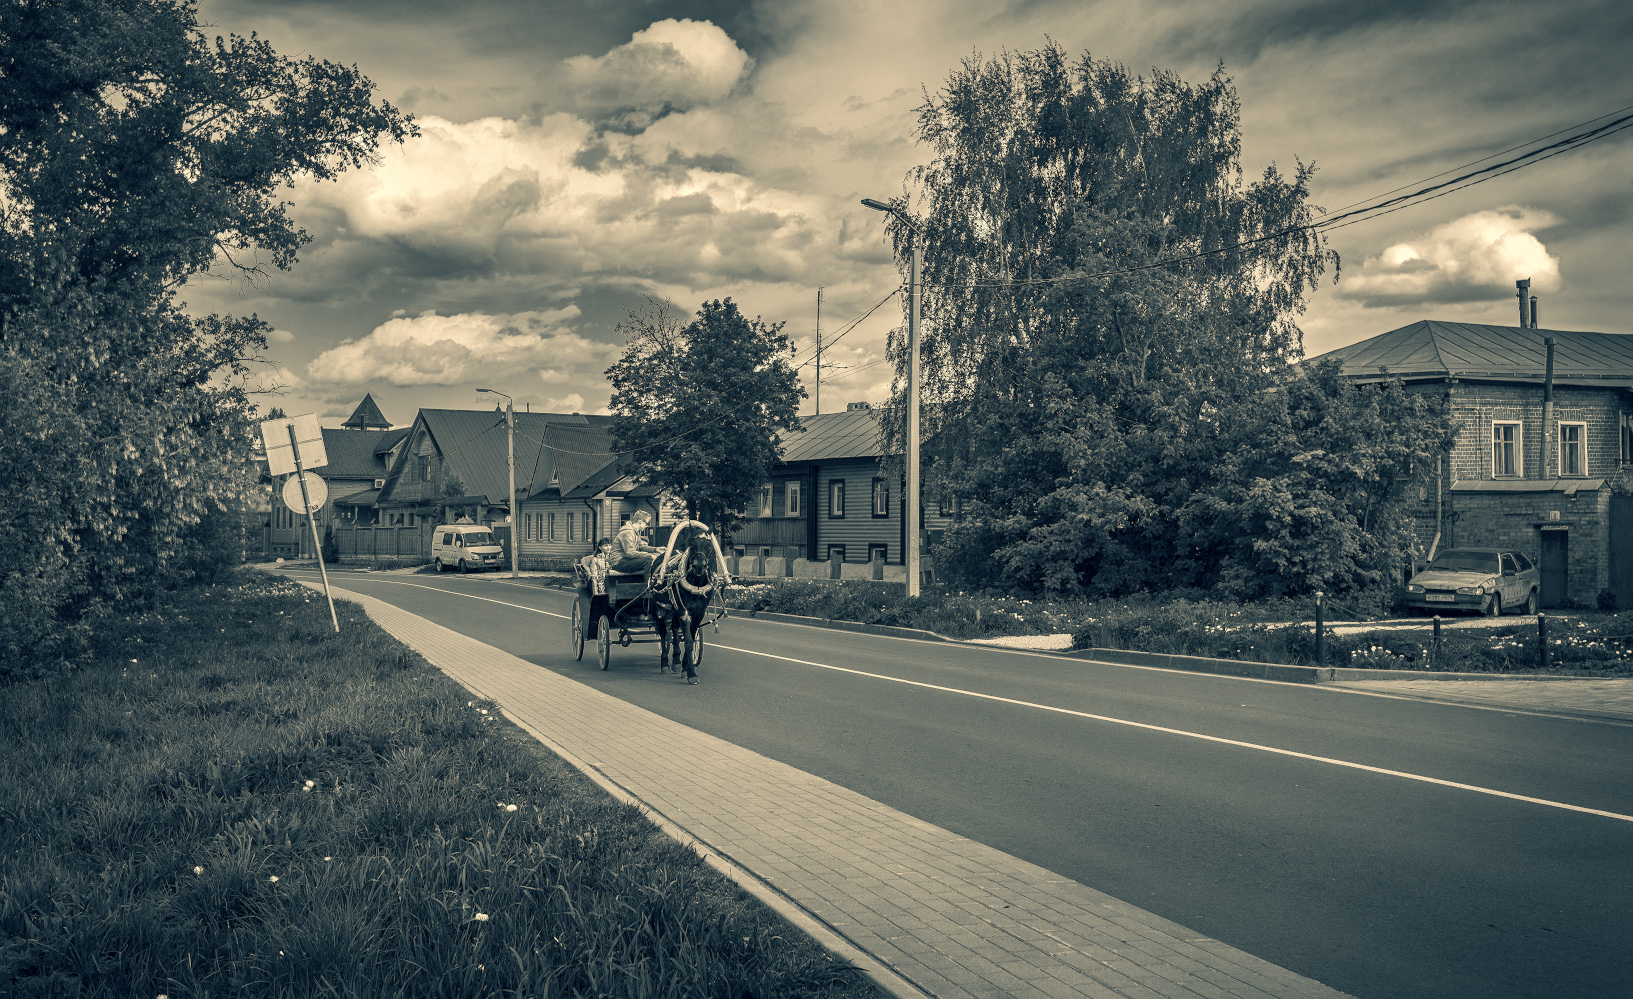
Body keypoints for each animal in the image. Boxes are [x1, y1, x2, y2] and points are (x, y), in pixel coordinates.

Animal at [649, 525, 721, 682]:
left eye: (709, 546)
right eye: (691, 545)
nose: (699, 566)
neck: (697, 584)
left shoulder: (698, 613)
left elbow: (692, 638)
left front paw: (684, 667)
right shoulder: (684, 611)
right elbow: (687, 641)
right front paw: (691, 674)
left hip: (673, 610)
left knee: (674, 630)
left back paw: (676, 660)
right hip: (660, 608)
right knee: (663, 632)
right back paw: (665, 663)